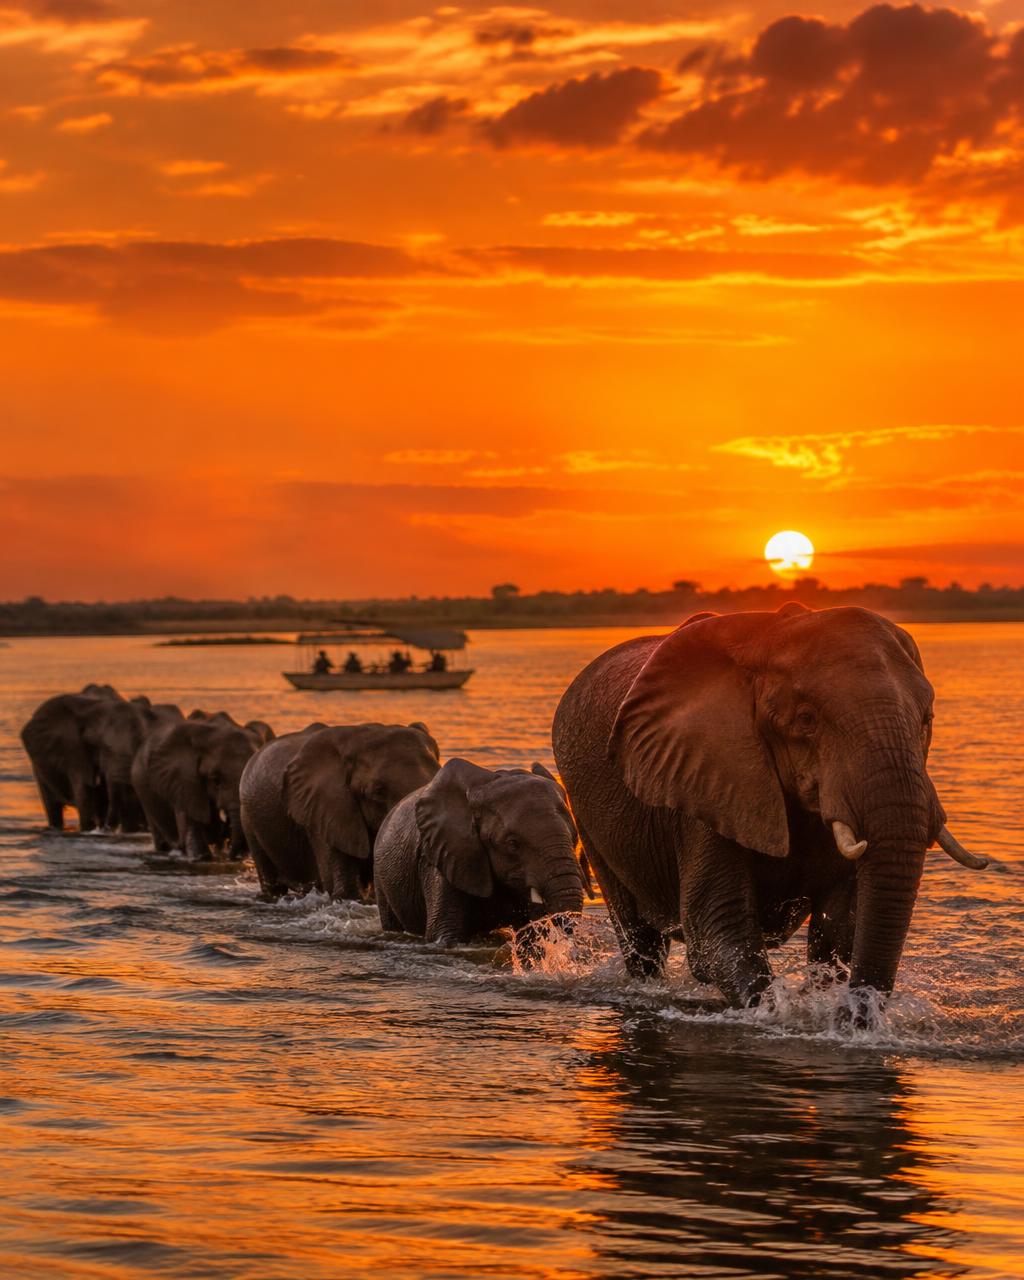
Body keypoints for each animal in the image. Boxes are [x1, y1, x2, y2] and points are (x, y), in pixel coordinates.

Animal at [552, 603, 987, 1017]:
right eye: (806, 720)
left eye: (927, 719)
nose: (855, 1016)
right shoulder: (704, 777)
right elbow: (718, 931)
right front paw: (782, 1013)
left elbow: (840, 929)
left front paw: (823, 1004)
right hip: (588, 814)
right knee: (640, 940)